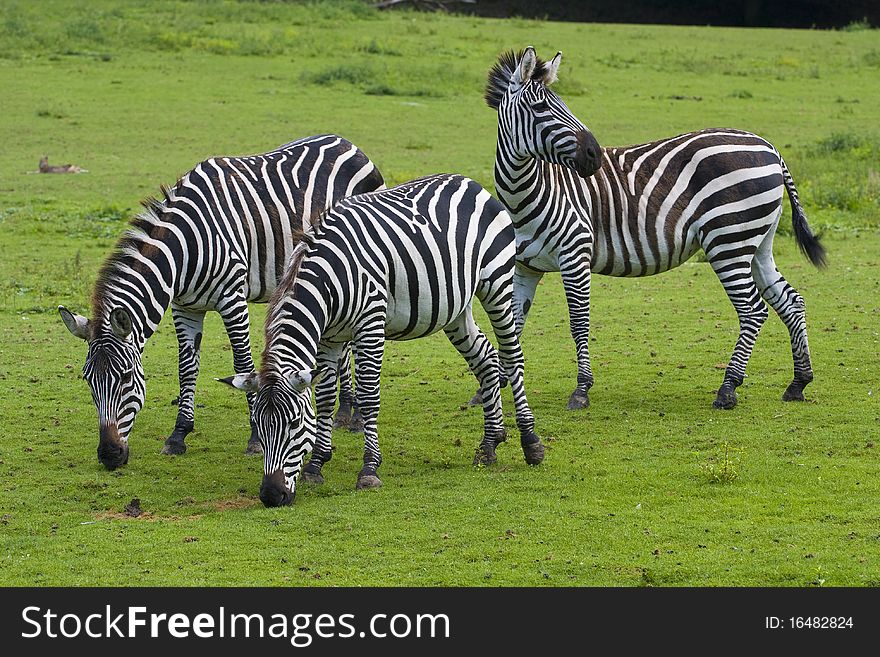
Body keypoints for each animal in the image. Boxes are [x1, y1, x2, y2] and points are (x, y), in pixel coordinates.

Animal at [56, 133, 384, 468]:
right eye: (87, 380)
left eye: (125, 378)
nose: (109, 456)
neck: (184, 248)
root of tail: (346, 142)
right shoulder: (184, 307)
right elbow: (186, 366)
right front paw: (178, 434)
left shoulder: (231, 298)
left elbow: (242, 363)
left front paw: (255, 437)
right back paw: (344, 411)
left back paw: (353, 414)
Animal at [222, 174, 544, 508]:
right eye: (258, 425)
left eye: (295, 424)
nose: (272, 495)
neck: (327, 277)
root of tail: (469, 182)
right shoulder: (328, 338)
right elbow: (324, 398)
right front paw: (316, 465)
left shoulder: (370, 325)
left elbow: (368, 397)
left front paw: (369, 468)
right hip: (455, 308)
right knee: (487, 361)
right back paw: (490, 444)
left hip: (496, 283)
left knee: (512, 357)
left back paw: (530, 442)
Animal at [482, 48, 824, 410]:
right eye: (541, 108)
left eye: (563, 104)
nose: (594, 155)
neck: (526, 193)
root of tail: (770, 147)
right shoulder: (526, 267)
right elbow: (513, 326)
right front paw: (499, 383)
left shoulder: (575, 253)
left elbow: (578, 323)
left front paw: (581, 389)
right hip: (757, 242)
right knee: (791, 301)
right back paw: (798, 382)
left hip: (728, 241)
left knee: (753, 310)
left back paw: (728, 387)